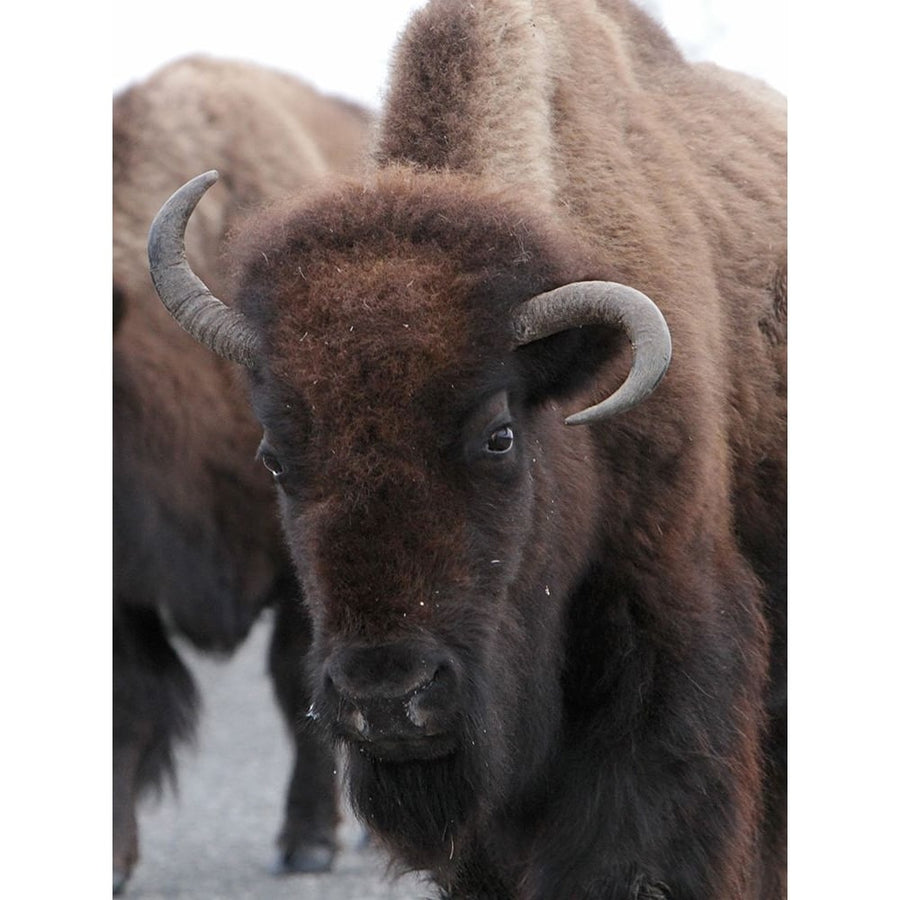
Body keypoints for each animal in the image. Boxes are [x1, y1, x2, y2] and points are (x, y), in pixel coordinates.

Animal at [113, 56, 372, 892]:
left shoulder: (304, 565)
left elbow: (302, 686)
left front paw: (308, 843)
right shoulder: (128, 588)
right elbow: (130, 706)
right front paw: (116, 861)